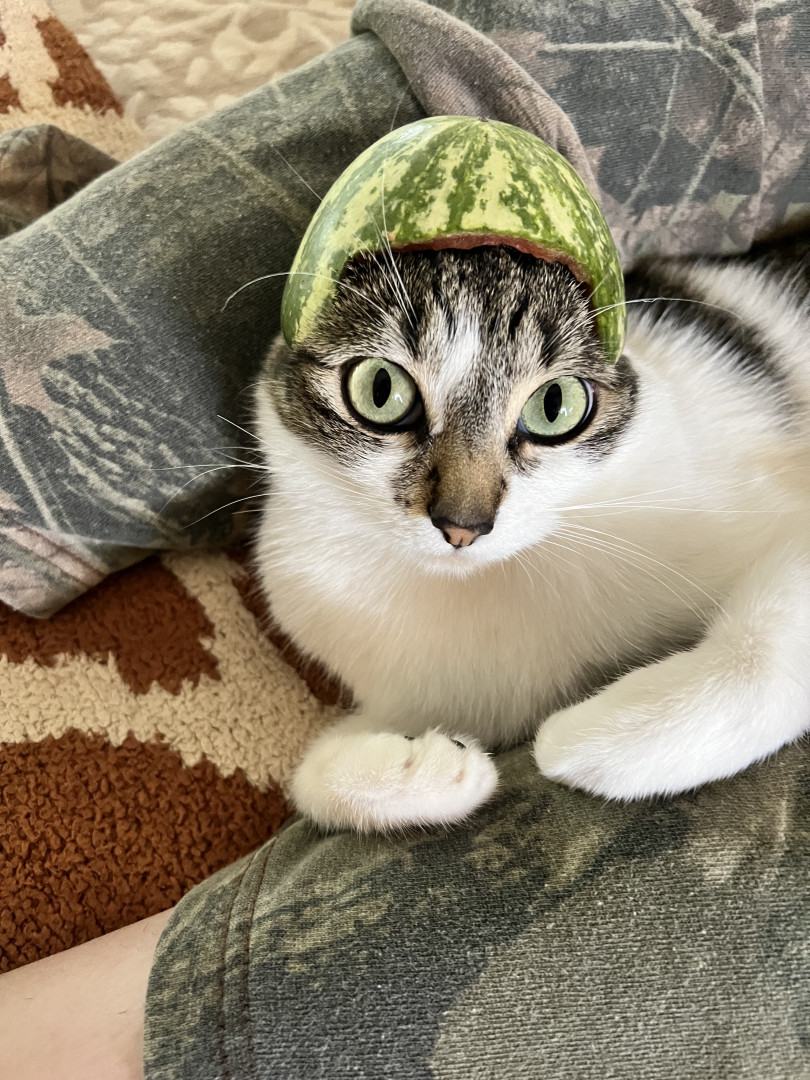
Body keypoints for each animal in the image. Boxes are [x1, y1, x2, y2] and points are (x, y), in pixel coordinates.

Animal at [253, 239, 810, 831]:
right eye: (381, 390)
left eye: (555, 405)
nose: (463, 524)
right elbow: (308, 783)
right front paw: (434, 769)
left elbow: (765, 645)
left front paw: (594, 740)